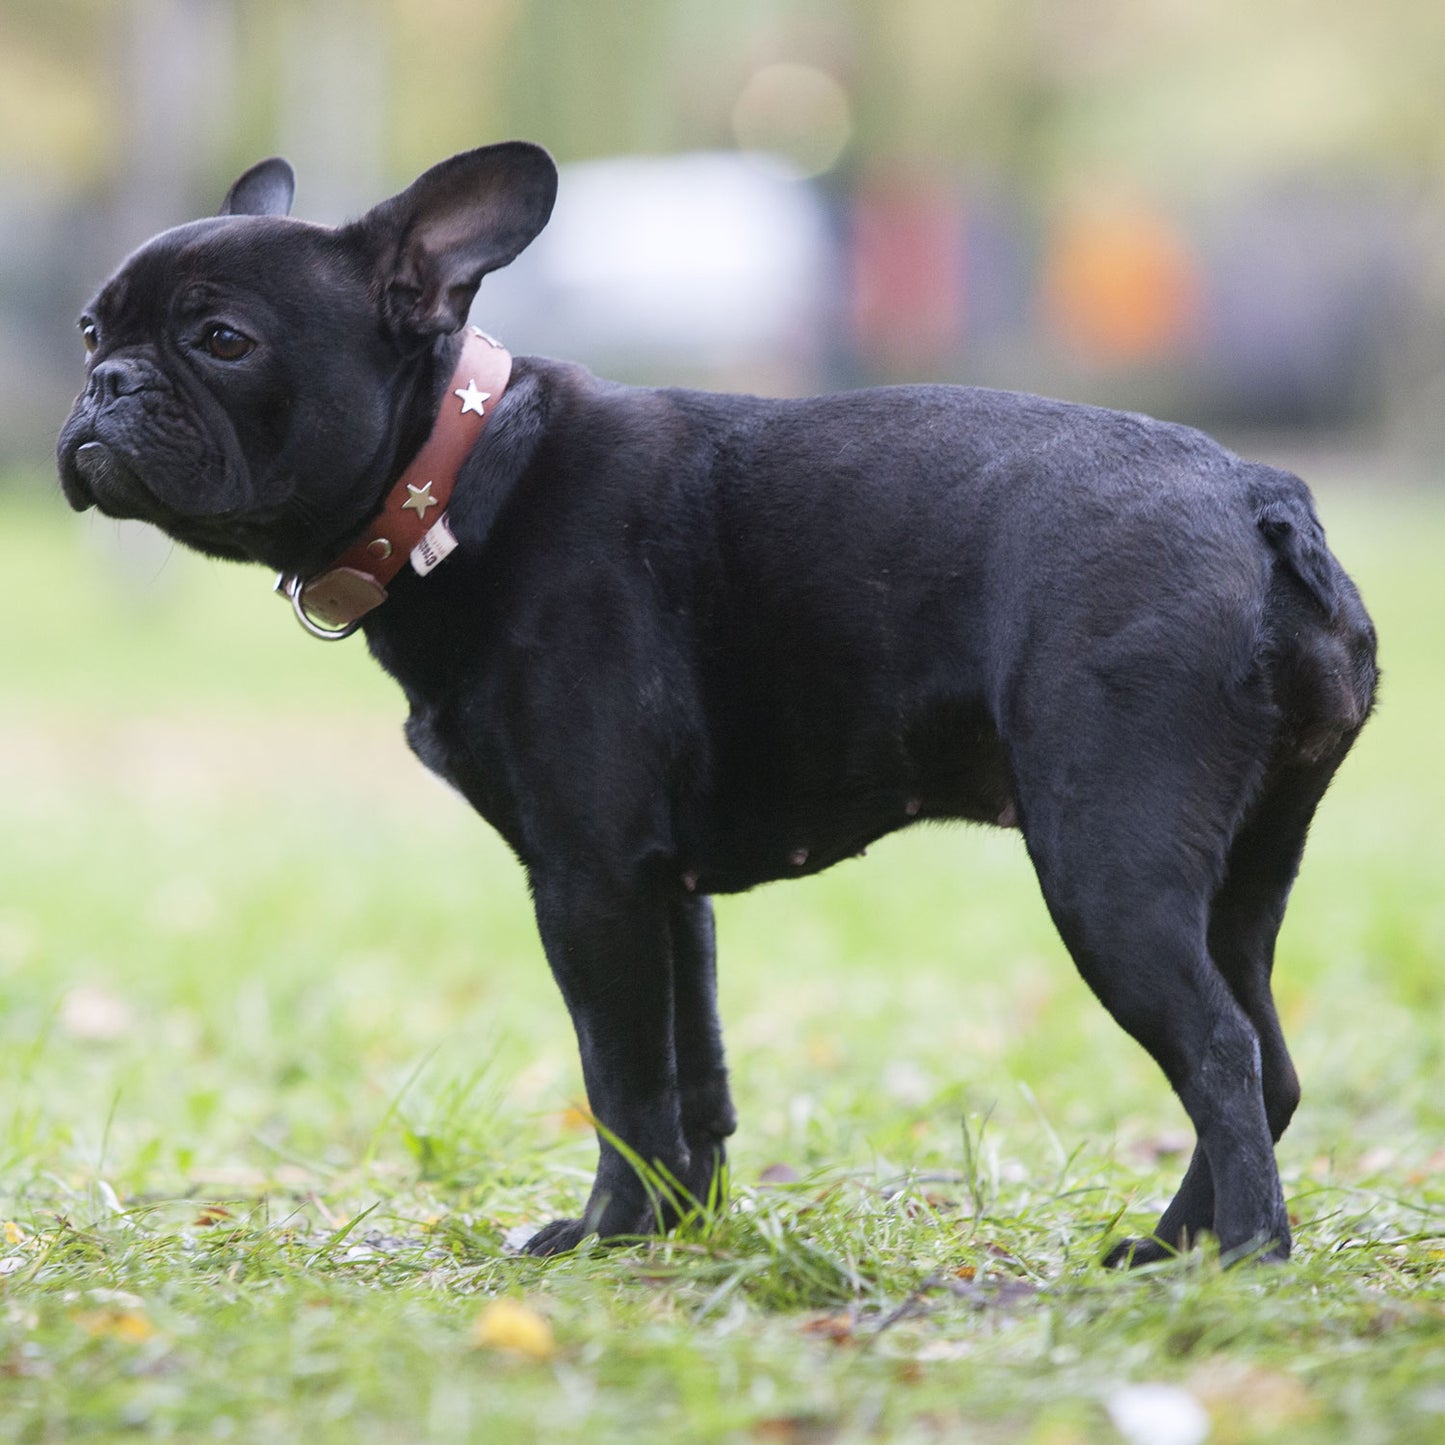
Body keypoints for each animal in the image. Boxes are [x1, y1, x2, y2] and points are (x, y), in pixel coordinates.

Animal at [56, 143, 1375, 1265]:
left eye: (221, 338)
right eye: (90, 329)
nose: (104, 383)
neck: (463, 474)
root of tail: (1256, 497)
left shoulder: (587, 878)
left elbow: (619, 1073)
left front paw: (601, 1234)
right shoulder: (662, 889)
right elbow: (694, 1076)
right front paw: (676, 1230)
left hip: (1105, 866)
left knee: (1215, 1049)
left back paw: (1240, 1253)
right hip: (1238, 875)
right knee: (1263, 1055)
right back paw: (1170, 1246)